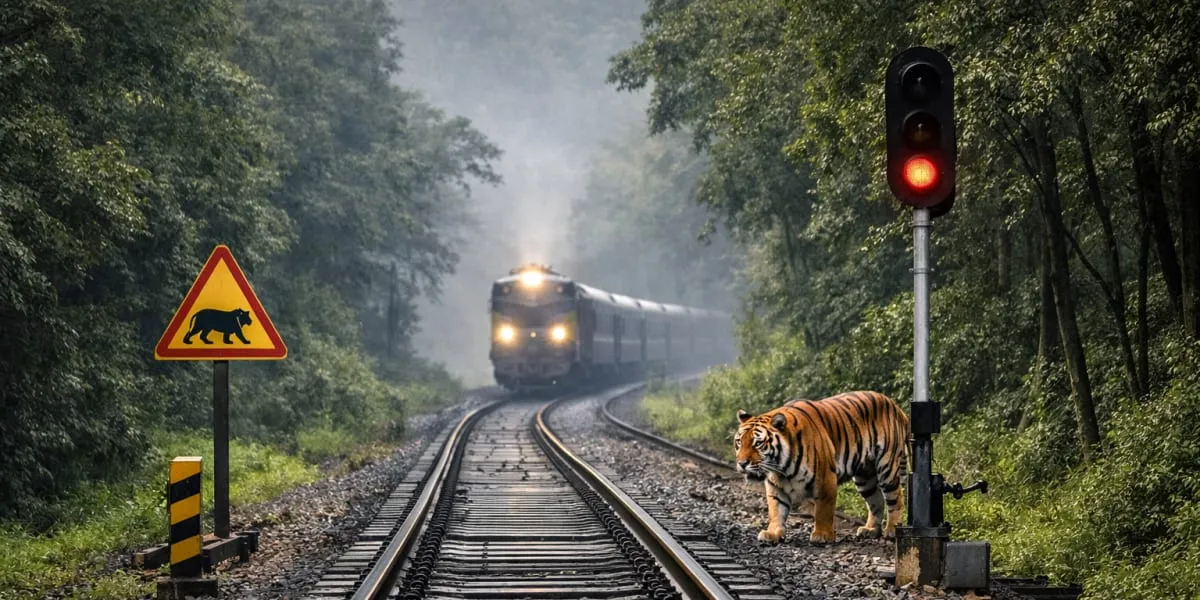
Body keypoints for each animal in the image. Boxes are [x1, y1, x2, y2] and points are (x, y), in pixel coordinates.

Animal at [733, 390, 910, 544]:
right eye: (739, 442)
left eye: (758, 443)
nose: (742, 463)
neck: (782, 468)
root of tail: (894, 404)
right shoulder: (775, 485)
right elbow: (776, 510)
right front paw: (772, 533)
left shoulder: (825, 478)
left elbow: (823, 510)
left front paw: (822, 535)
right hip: (865, 477)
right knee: (876, 500)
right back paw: (870, 530)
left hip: (887, 467)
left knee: (896, 498)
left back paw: (892, 530)